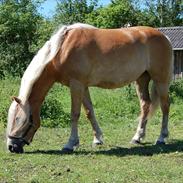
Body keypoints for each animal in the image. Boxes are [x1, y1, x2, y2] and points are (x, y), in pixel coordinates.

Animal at [6, 22, 172, 153]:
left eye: (18, 118)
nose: (11, 147)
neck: (62, 50)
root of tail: (164, 37)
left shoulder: (76, 85)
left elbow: (75, 114)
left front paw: (70, 144)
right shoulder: (83, 86)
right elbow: (89, 112)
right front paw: (97, 139)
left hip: (160, 80)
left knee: (165, 106)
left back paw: (161, 137)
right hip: (141, 79)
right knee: (145, 105)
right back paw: (137, 137)